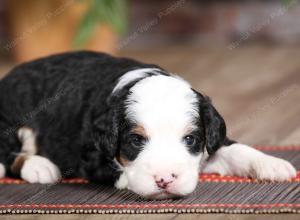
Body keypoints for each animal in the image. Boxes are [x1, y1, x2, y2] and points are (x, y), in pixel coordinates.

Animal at [0, 51, 296, 199]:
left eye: (190, 139)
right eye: (136, 141)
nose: (164, 179)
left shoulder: (211, 138)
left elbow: (234, 149)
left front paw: (272, 164)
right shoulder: (89, 153)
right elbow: (122, 172)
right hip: (12, 114)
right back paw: (39, 167)